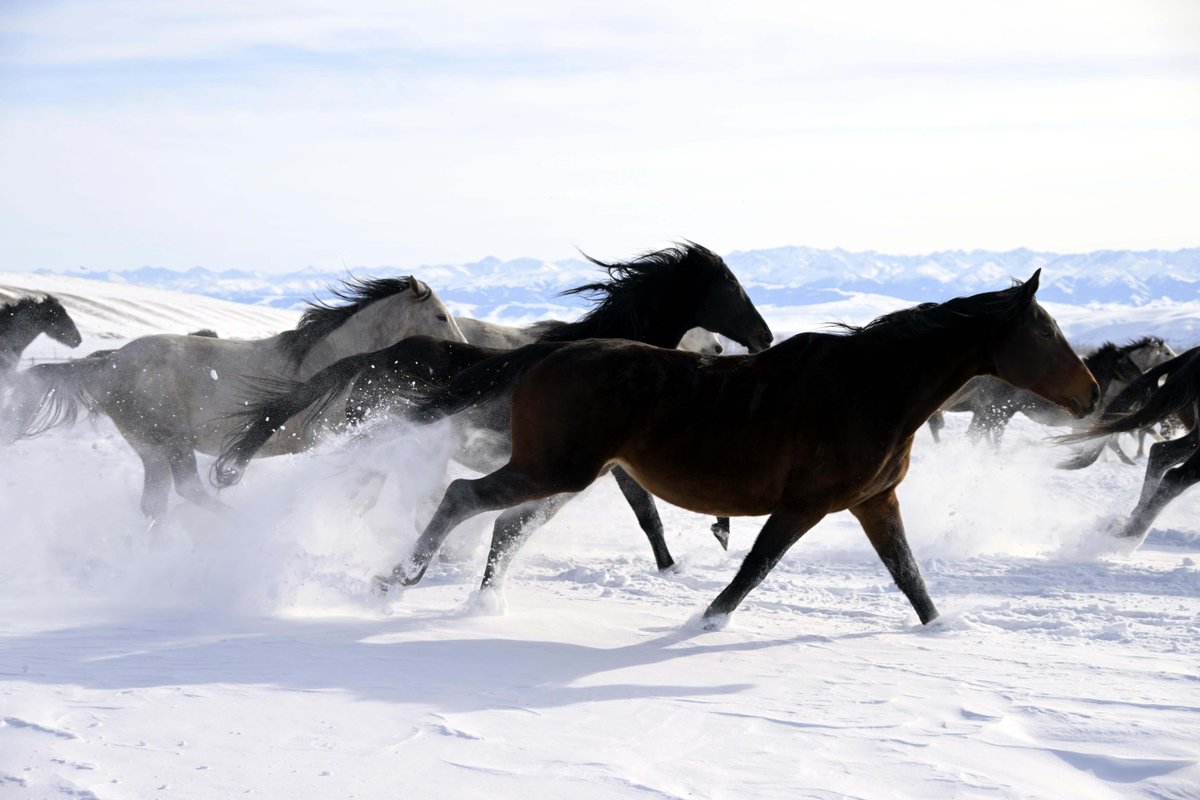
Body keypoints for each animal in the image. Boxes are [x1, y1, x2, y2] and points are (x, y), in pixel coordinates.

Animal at [5, 276, 465, 522]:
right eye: (441, 315)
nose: (463, 349)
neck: (330, 360)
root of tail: (107, 362)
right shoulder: (329, 436)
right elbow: (367, 476)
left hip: (149, 447)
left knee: (154, 505)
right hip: (171, 440)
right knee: (190, 489)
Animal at [215, 243, 773, 572]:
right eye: (732, 287)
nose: (763, 337)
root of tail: (380, 355)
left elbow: (645, 510)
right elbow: (647, 513)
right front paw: (688, 554)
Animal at [362, 270, 1097, 627]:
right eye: (1046, 333)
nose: (1091, 394)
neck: (871, 387)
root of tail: (551, 352)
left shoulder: (875, 502)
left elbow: (910, 577)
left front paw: (942, 630)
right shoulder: (805, 504)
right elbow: (754, 569)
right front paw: (705, 622)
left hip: (569, 475)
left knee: (505, 524)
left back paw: (479, 603)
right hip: (553, 469)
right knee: (464, 498)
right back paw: (396, 580)